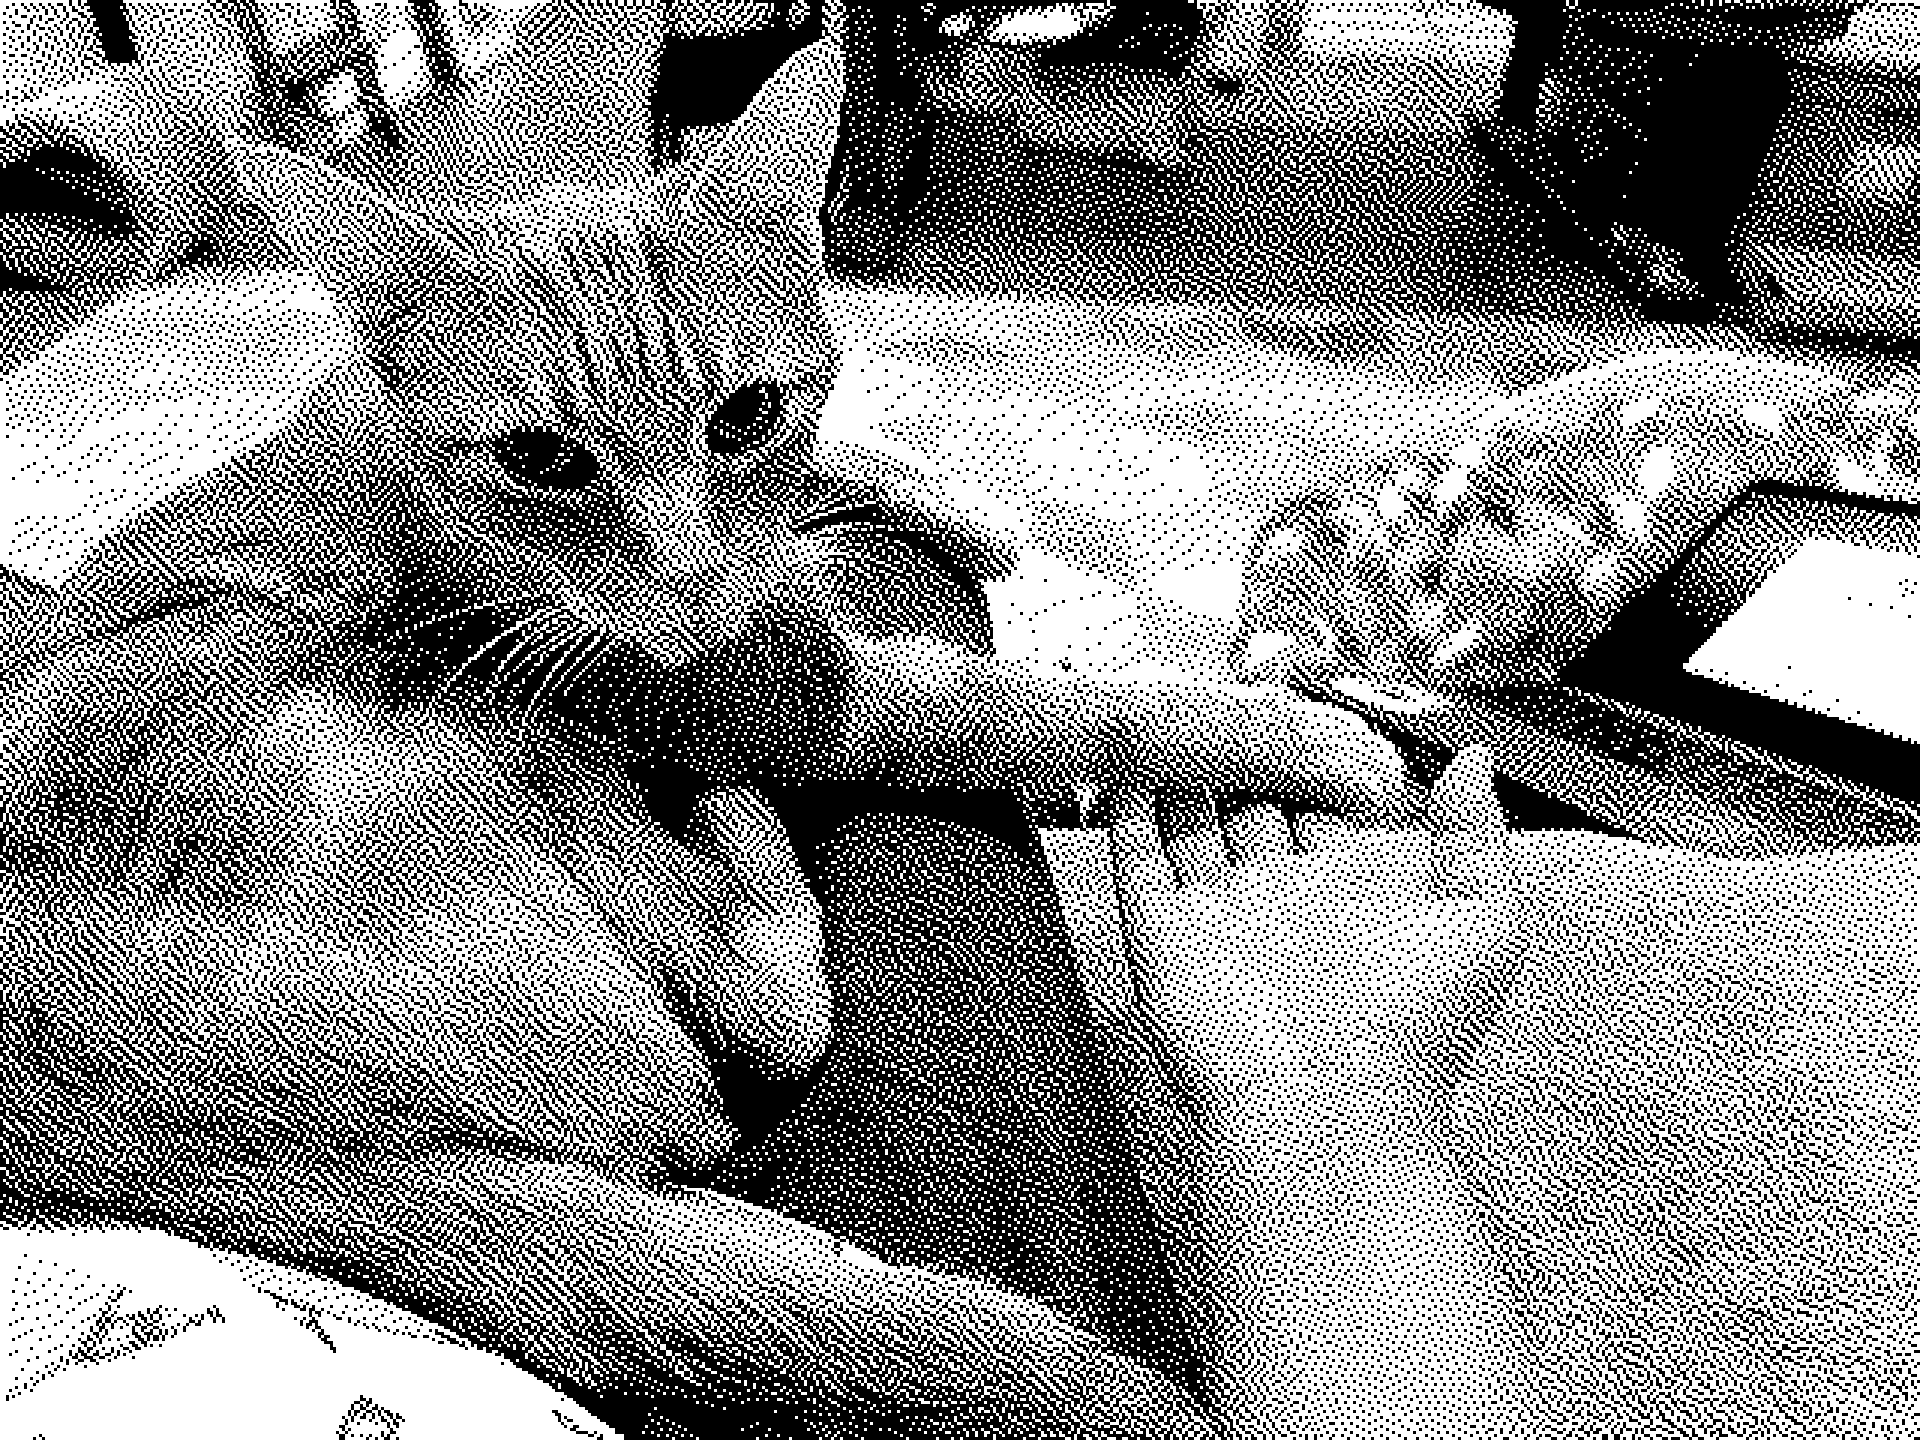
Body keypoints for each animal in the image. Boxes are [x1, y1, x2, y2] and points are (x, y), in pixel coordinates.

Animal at [0, 36, 1413, 1440]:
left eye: (742, 414)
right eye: (540, 460)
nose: (681, 562)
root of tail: (105, 1136)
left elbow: (885, 525)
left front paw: (927, 505)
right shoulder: (757, 695)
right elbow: (1000, 702)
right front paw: (1273, 731)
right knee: (741, 1036)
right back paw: (768, 922)